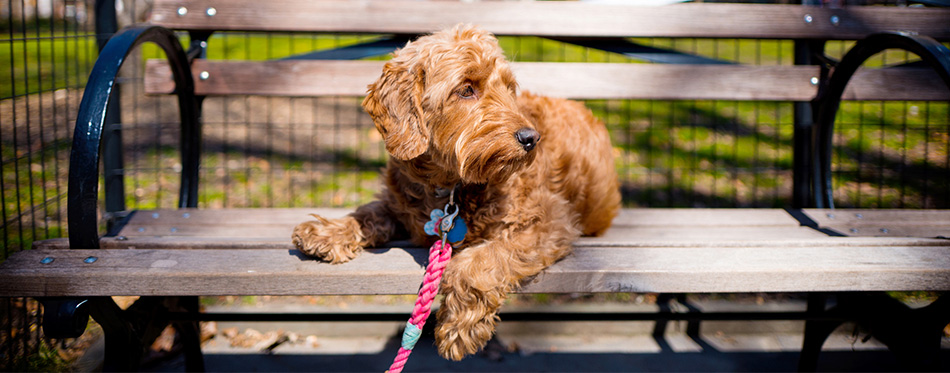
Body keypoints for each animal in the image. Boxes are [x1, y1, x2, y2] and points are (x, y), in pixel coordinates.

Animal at [296, 24, 624, 360]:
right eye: (466, 89)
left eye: (509, 88)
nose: (532, 138)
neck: (448, 187)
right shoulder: (400, 203)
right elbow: (370, 212)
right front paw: (328, 231)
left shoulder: (550, 220)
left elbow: (480, 261)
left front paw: (458, 328)